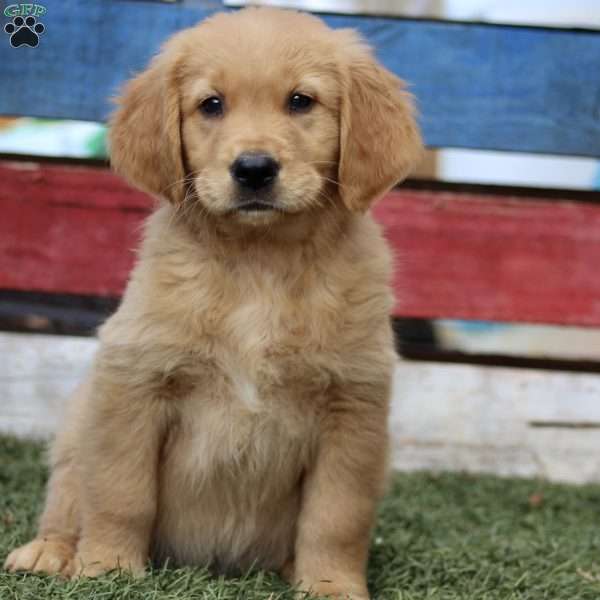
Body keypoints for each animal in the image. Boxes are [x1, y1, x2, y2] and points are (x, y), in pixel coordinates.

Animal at [3, 5, 422, 600]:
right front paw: (108, 567)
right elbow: (120, 492)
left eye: (301, 101)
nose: (253, 169)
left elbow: (335, 516)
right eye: (212, 105)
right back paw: (52, 551)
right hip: (76, 425)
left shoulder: (353, 407)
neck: (258, 264)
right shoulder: (132, 383)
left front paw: (331, 585)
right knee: (68, 493)